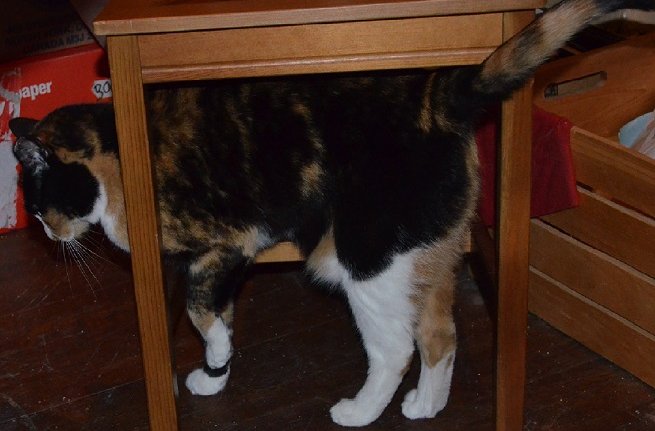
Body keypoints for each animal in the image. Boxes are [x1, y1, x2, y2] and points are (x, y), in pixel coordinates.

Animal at [9, 0, 654, 426]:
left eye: (38, 204)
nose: (45, 232)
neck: (119, 156)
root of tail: (441, 95)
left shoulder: (223, 244)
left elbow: (198, 309)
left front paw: (213, 360)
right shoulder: (224, 259)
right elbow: (218, 311)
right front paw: (216, 375)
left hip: (365, 257)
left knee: (395, 347)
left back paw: (359, 411)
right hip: (426, 253)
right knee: (440, 333)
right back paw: (425, 406)